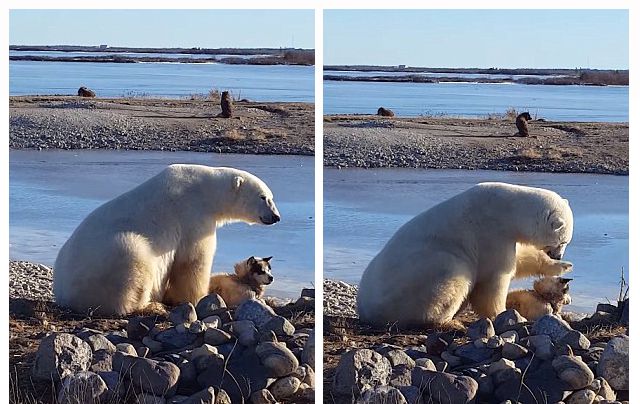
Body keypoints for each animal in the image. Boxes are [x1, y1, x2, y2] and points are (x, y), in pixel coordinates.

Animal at [52, 164, 278, 316]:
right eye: (263, 197)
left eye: (271, 197)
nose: (276, 217)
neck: (206, 190)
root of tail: (62, 293)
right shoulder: (192, 215)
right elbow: (193, 261)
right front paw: (196, 297)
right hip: (110, 258)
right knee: (133, 261)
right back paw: (151, 305)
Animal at [358, 181, 572, 326]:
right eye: (562, 241)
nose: (558, 256)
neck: (508, 208)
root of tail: (364, 309)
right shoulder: (490, 231)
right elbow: (494, 276)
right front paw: (502, 313)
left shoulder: (506, 235)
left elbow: (521, 258)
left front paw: (563, 266)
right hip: (417, 278)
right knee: (453, 274)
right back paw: (447, 320)